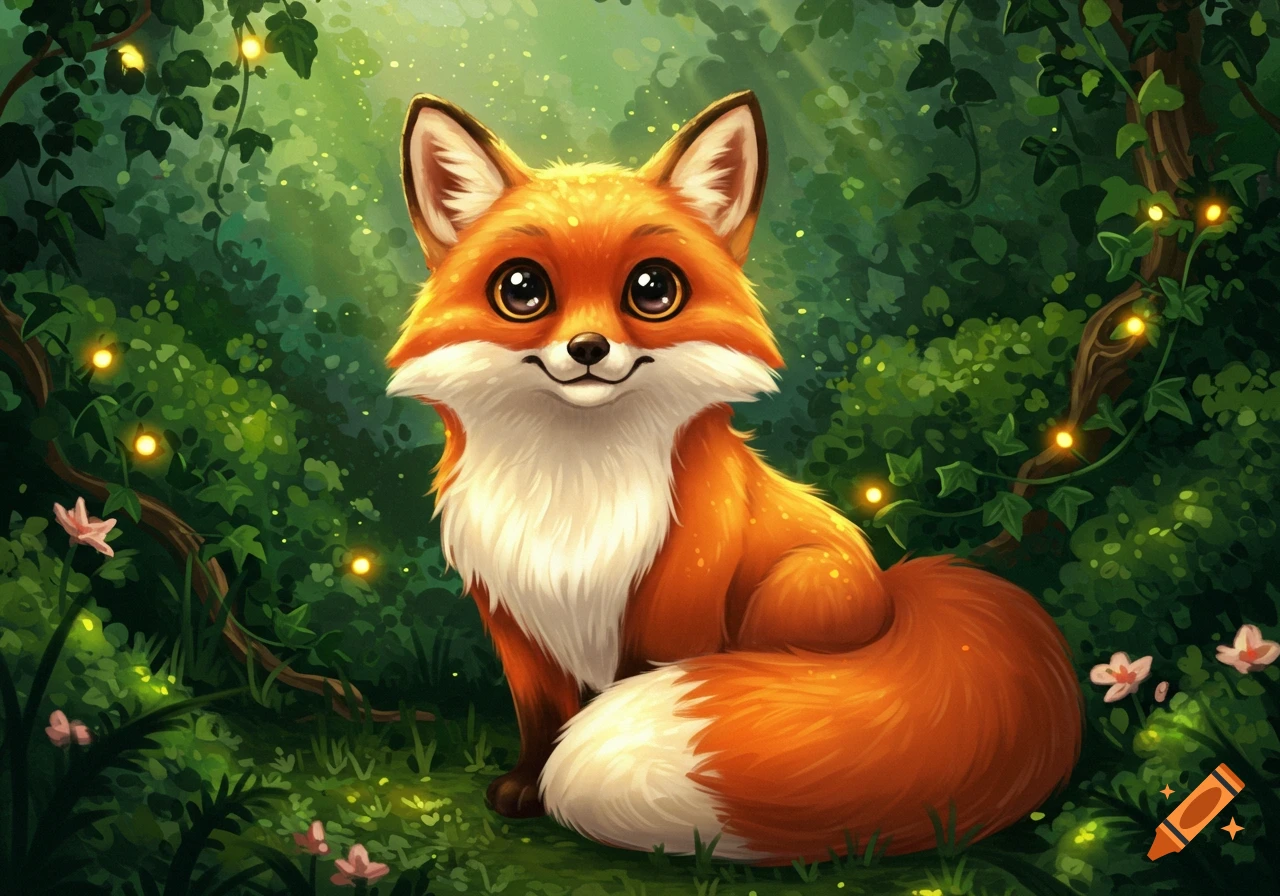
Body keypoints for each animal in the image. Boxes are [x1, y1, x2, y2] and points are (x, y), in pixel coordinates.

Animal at [385, 90, 1083, 864]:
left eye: (652, 289)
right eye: (521, 289)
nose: (588, 348)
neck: (573, 488)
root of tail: (895, 588)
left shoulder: (676, 606)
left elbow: (635, 679)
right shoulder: (516, 620)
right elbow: (540, 719)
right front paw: (526, 789)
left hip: (795, 591)